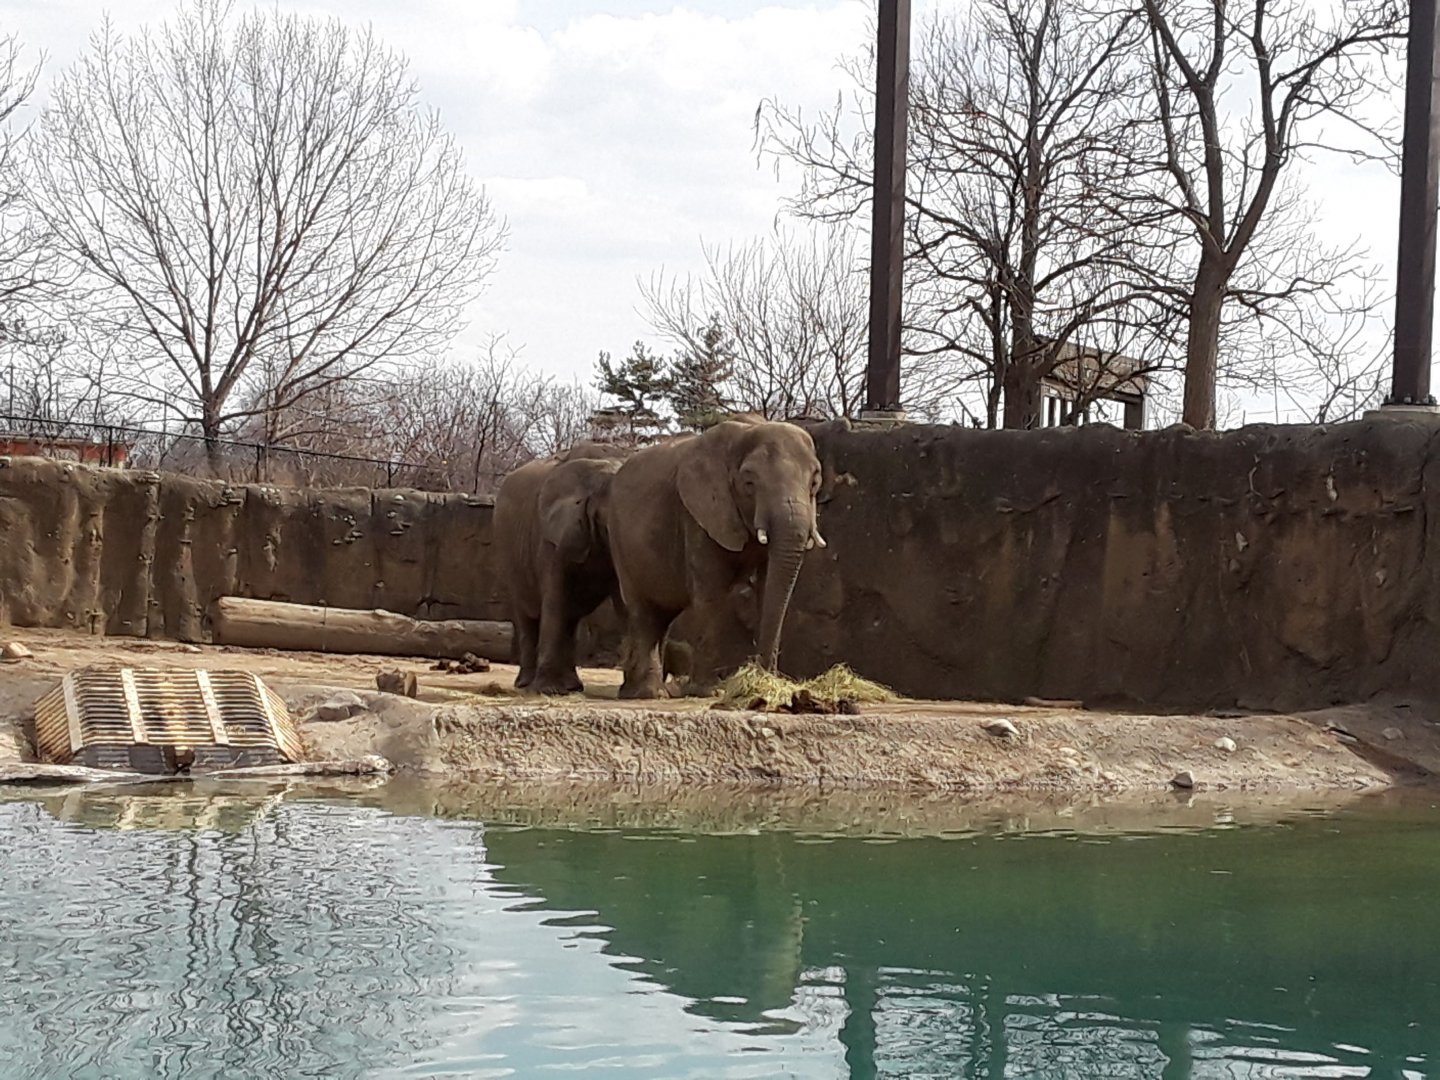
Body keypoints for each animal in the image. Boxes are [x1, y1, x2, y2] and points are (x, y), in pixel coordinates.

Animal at [493, 442, 631, 694]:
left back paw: (572, 686)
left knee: (570, 620)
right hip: (507, 554)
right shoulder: (551, 538)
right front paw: (548, 691)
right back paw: (527, 684)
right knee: (526, 616)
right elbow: (555, 599)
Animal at [607, 416, 825, 698]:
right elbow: (711, 594)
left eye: (814, 483)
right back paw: (650, 694)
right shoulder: (698, 514)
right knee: (642, 611)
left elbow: (767, 589)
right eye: (749, 484)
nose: (764, 677)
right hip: (619, 540)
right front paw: (708, 691)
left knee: (661, 615)